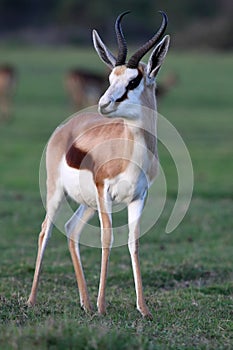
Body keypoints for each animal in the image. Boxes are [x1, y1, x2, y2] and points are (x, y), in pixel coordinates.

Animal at [27, 10, 170, 318]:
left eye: (133, 81)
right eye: (110, 77)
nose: (104, 103)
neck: (130, 154)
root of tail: (68, 125)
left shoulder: (138, 197)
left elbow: (134, 242)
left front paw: (143, 308)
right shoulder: (105, 191)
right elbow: (107, 239)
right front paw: (103, 306)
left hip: (87, 203)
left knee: (71, 229)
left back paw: (85, 302)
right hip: (58, 193)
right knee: (45, 231)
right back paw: (32, 301)